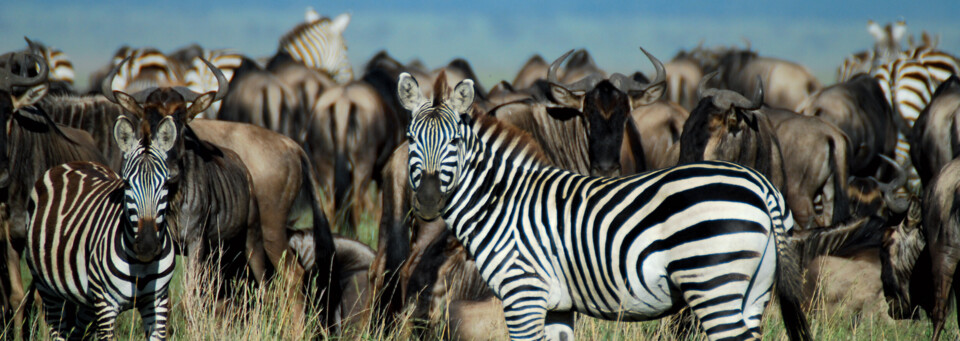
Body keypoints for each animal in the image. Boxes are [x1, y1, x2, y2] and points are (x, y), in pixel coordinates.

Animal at [23, 109, 178, 338]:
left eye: (166, 183)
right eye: (127, 183)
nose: (147, 246)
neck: (141, 264)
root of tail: (73, 163)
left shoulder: (157, 301)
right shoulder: (106, 304)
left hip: (87, 302)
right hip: (48, 288)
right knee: (57, 329)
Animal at [398, 73, 808, 338]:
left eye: (454, 141)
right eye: (411, 138)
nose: (429, 201)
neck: (502, 203)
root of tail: (761, 186)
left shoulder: (523, 294)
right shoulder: (558, 306)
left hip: (713, 283)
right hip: (754, 292)